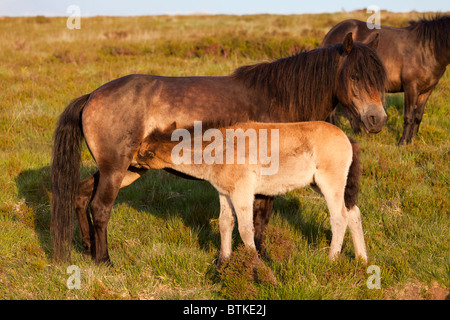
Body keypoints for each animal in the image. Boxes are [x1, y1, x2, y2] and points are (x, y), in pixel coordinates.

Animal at [138, 121, 370, 266]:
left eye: (142, 153)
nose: (132, 161)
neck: (217, 150)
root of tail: (347, 137)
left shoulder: (243, 192)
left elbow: (245, 229)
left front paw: (253, 264)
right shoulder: (225, 193)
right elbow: (225, 223)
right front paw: (222, 262)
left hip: (331, 183)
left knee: (339, 217)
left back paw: (331, 260)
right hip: (325, 186)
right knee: (353, 213)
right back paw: (362, 260)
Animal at [324, 15, 450, 144]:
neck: (427, 50)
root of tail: (330, 32)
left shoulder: (427, 91)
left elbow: (418, 117)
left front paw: (413, 141)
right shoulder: (411, 88)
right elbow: (409, 117)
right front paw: (403, 142)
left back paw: (358, 134)